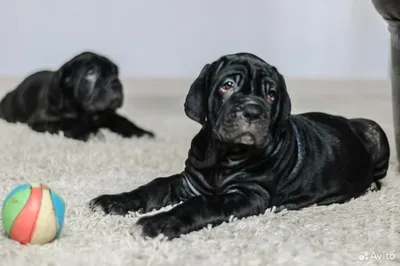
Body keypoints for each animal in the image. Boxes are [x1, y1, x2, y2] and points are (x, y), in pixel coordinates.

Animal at [0, 50, 155, 141]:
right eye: (91, 73)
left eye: (115, 72)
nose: (115, 83)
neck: (86, 112)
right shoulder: (41, 121)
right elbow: (65, 123)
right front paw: (89, 133)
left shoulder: (109, 115)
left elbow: (124, 122)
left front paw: (142, 133)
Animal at [89, 52, 390, 239]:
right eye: (228, 85)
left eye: (271, 94)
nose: (253, 111)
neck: (222, 155)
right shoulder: (189, 181)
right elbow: (153, 187)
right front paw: (114, 201)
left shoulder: (249, 194)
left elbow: (201, 204)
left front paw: (157, 223)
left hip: (376, 130)